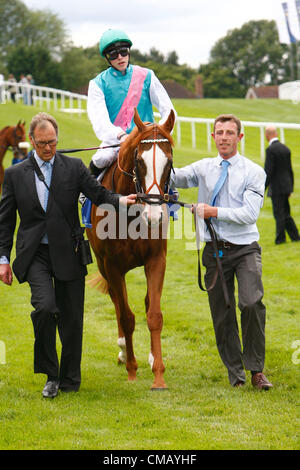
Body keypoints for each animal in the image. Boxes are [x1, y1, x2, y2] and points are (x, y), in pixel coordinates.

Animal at [86, 109, 175, 390]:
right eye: (139, 162)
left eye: (169, 162)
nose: (154, 216)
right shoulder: (112, 266)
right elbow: (126, 316)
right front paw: (132, 369)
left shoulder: (156, 259)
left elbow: (154, 313)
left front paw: (158, 374)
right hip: (103, 265)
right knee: (117, 303)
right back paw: (124, 351)